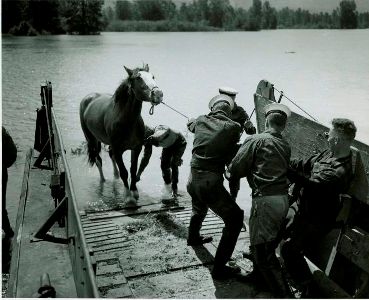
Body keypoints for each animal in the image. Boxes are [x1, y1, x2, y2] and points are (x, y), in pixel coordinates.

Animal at [80, 64, 162, 206]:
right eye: (138, 78)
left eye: (153, 76)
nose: (158, 94)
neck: (127, 121)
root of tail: (88, 98)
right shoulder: (118, 149)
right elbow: (124, 171)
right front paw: (128, 197)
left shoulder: (136, 148)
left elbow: (133, 170)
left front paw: (134, 192)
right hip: (91, 139)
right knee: (98, 160)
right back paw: (103, 180)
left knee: (110, 156)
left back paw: (115, 176)